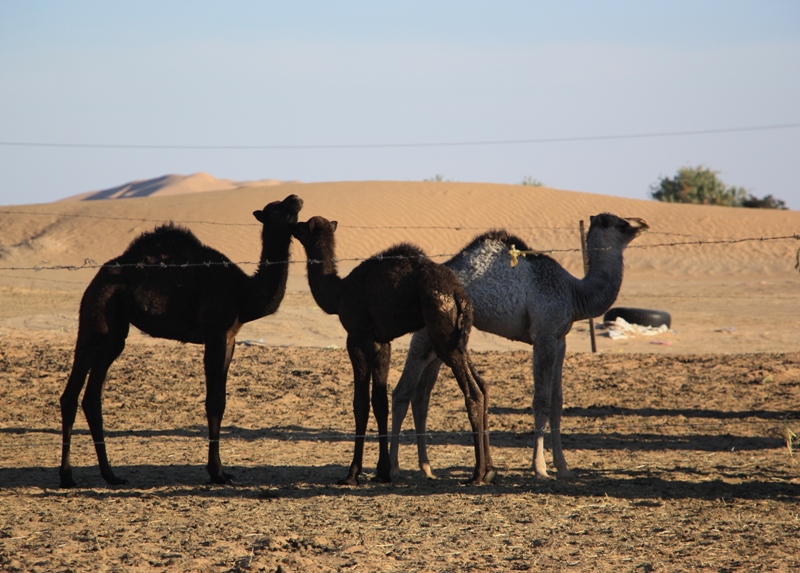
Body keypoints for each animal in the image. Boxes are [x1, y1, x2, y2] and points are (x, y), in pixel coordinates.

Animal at [59, 193, 304, 488]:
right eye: (274, 209)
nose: (295, 197)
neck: (244, 293)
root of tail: (95, 280)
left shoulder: (230, 339)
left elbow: (221, 400)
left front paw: (222, 471)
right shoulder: (215, 334)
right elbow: (214, 402)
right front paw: (217, 473)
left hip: (115, 332)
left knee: (93, 397)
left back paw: (111, 475)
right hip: (96, 319)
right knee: (71, 394)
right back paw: (67, 476)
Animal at [292, 217, 494, 484]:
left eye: (303, 225)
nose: (292, 226)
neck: (339, 292)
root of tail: (458, 294)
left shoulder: (357, 337)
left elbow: (360, 403)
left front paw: (352, 474)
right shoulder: (382, 342)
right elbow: (380, 401)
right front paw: (382, 471)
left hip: (441, 334)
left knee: (473, 393)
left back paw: (477, 474)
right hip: (457, 337)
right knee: (482, 386)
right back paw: (488, 471)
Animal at [390, 212, 648, 480]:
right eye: (622, 224)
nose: (643, 223)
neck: (574, 292)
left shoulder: (559, 339)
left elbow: (557, 401)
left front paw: (564, 467)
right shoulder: (543, 337)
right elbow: (541, 401)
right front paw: (540, 469)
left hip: (440, 342)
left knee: (421, 396)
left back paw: (427, 469)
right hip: (425, 335)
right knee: (402, 392)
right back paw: (394, 468)